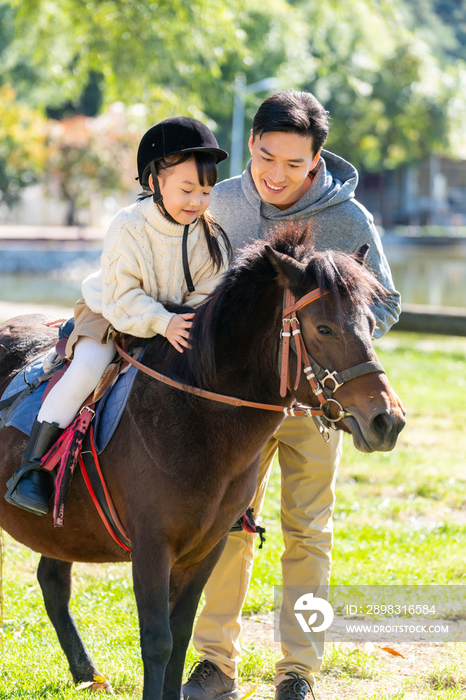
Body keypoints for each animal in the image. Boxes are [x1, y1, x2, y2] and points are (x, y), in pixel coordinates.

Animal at [0, 224, 406, 700]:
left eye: (371, 324)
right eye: (324, 327)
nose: (387, 420)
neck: (196, 412)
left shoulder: (206, 548)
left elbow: (180, 635)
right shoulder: (152, 547)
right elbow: (158, 640)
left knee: (53, 581)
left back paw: (86, 673)